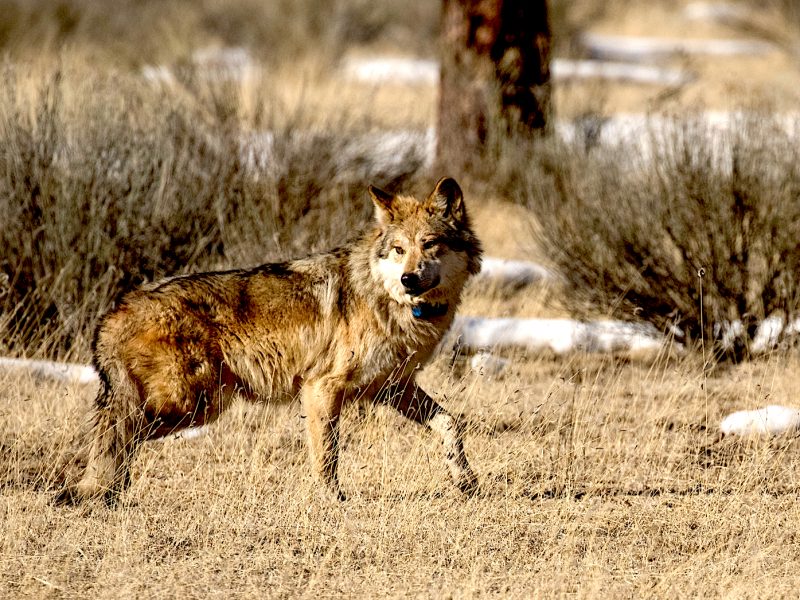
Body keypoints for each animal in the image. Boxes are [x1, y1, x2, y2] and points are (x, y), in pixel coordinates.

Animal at [57, 177, 482, 505]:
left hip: (194, 406)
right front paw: (332, 501)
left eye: (430, 244)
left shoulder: (393, 387)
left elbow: (450, 425)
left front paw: (466, 481)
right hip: (193, 404)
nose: (409, 279)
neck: (387, 300)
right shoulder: (320, 388)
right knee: (118, 436)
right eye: (399, 250)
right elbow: (327, 456)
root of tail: (115, 311)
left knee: (116, 440)